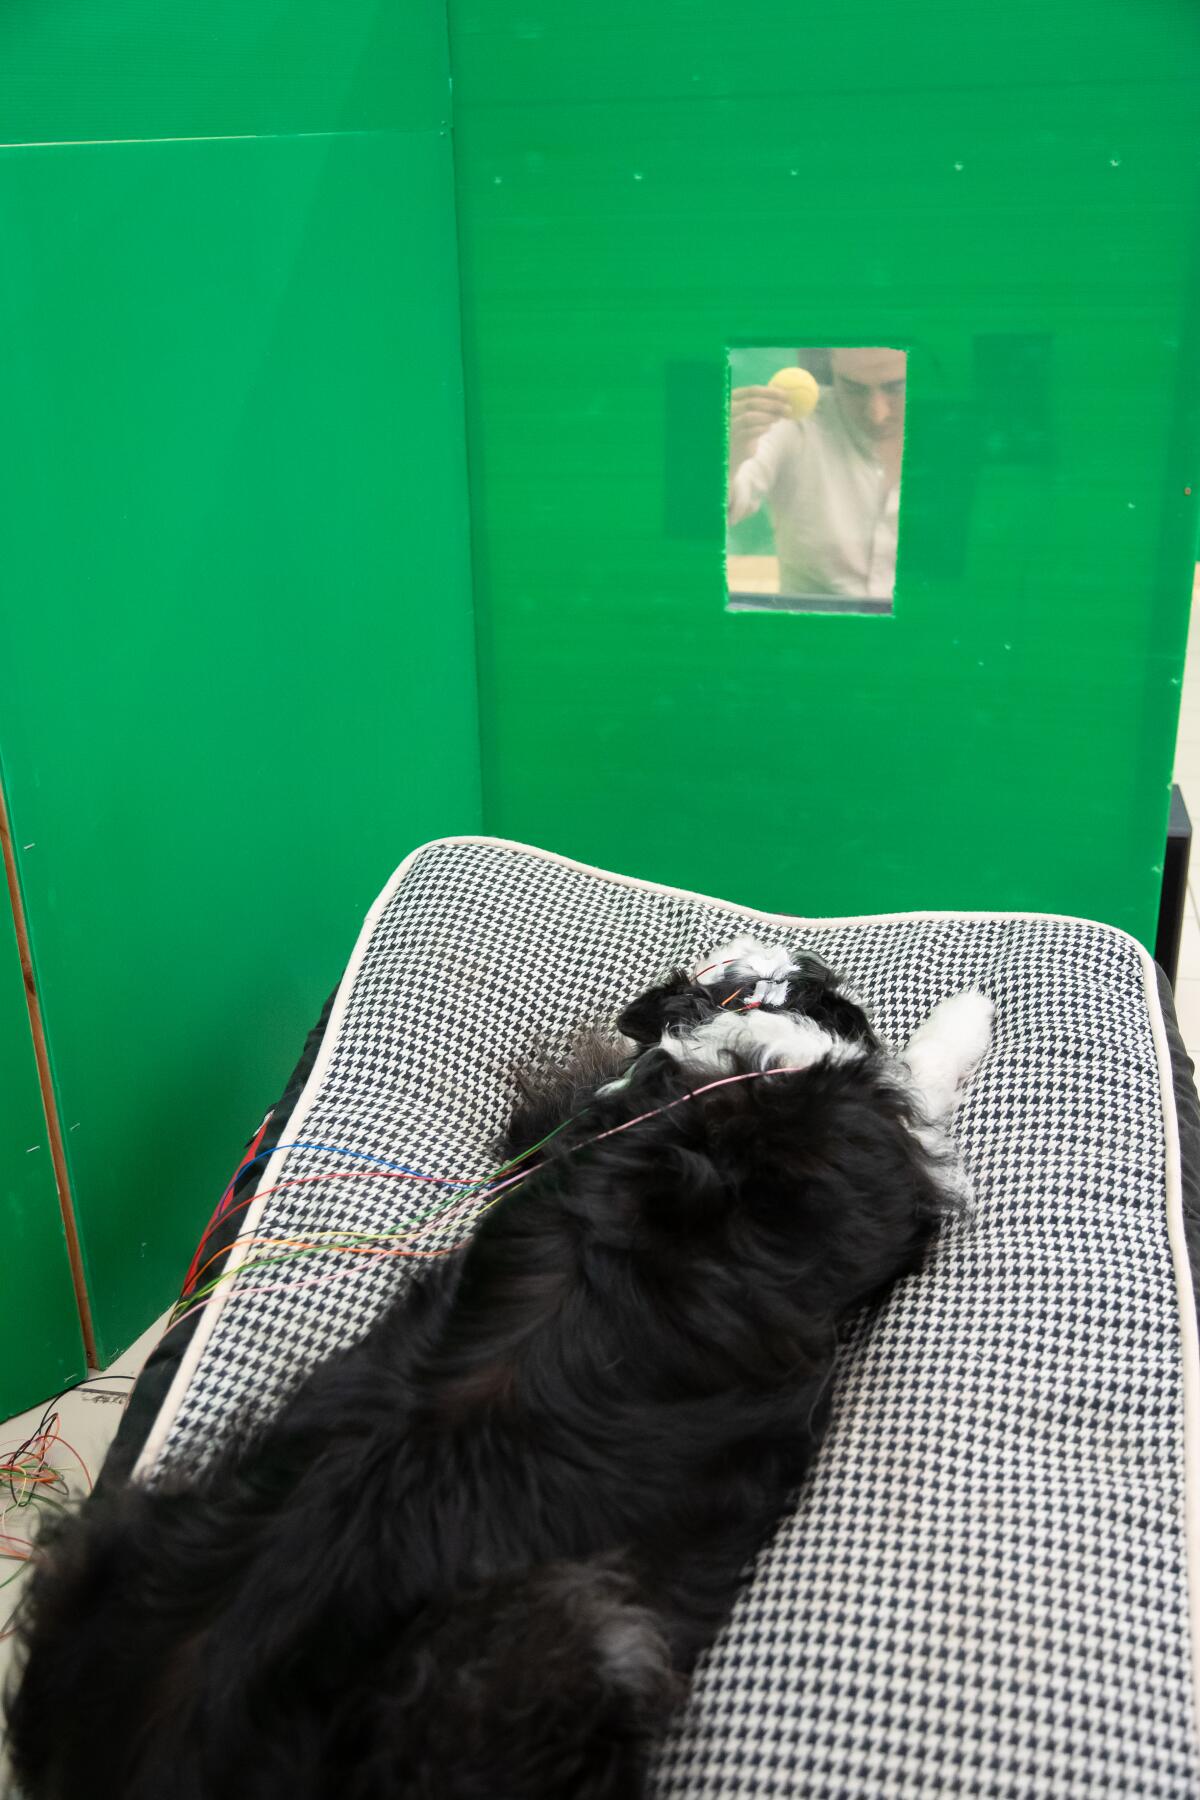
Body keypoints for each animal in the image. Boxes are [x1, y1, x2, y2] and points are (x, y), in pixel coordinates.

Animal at [4, 943, 993, 1800]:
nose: (803, 958)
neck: (740, 1040)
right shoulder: (897, 1175)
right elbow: (919, 1076)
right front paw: (970, 1011)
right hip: (575, 1638)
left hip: (105, 1532)